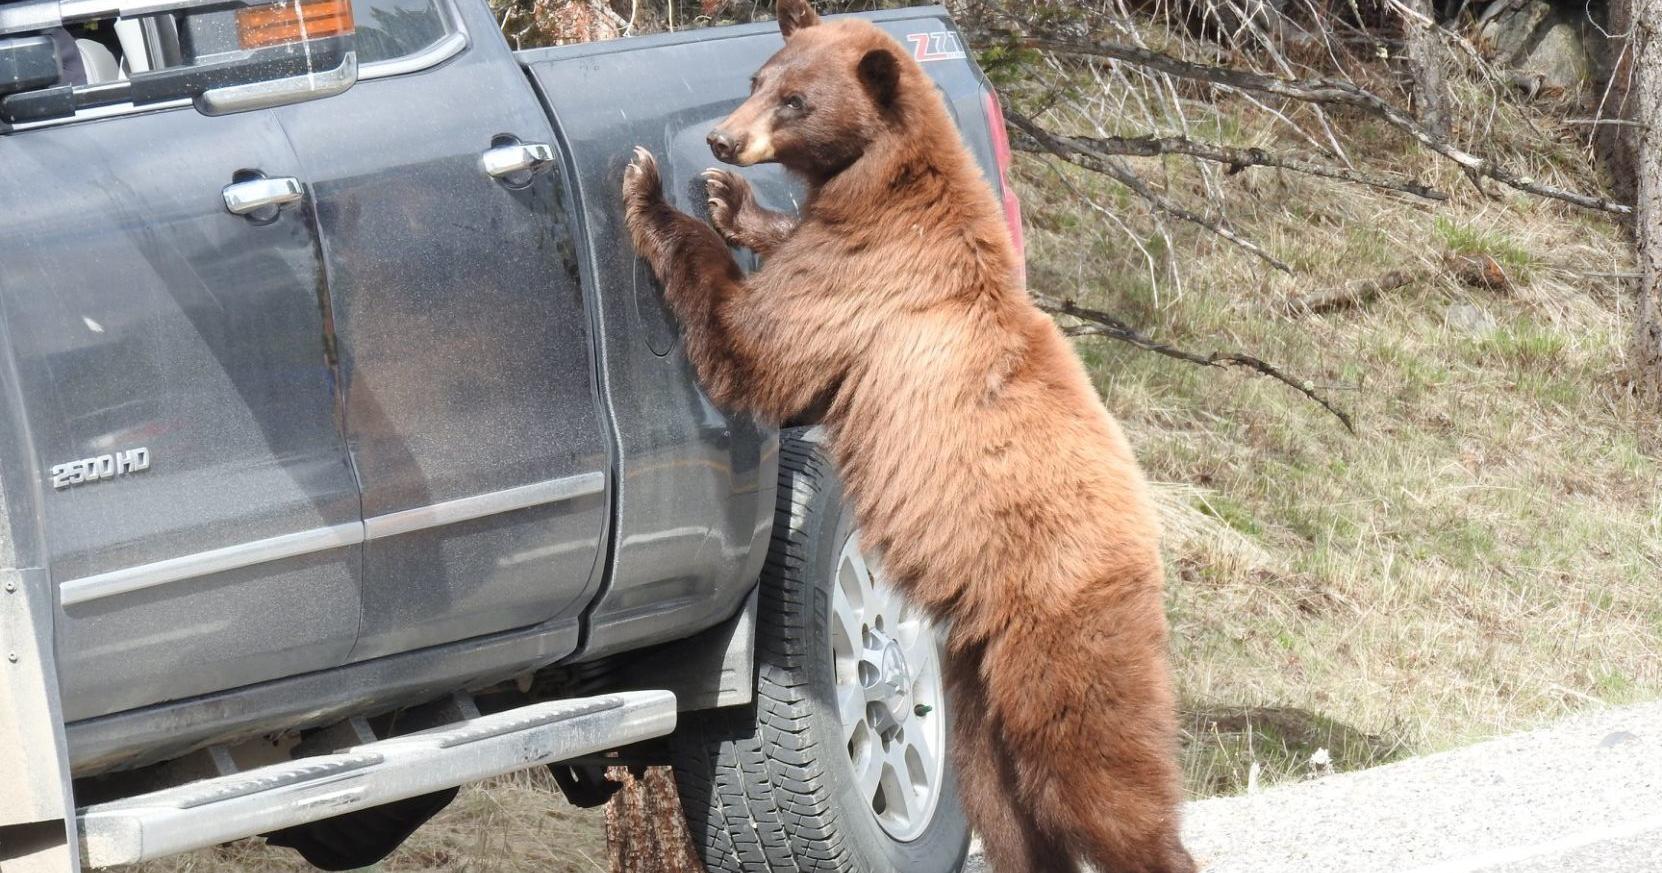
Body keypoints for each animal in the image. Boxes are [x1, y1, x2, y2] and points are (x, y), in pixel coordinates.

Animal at [620, 2, 1195, 871]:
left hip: (1063, 629)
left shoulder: (865, 276)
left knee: (1095, 769)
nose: (721, 142)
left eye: (795, 101)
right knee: (1002, 795)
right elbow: (785, 254)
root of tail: (1148, 549)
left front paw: (653, 190)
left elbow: (756, 344)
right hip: (978, 678)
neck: (881, 183)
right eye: (759, 79)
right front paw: (733, 201)